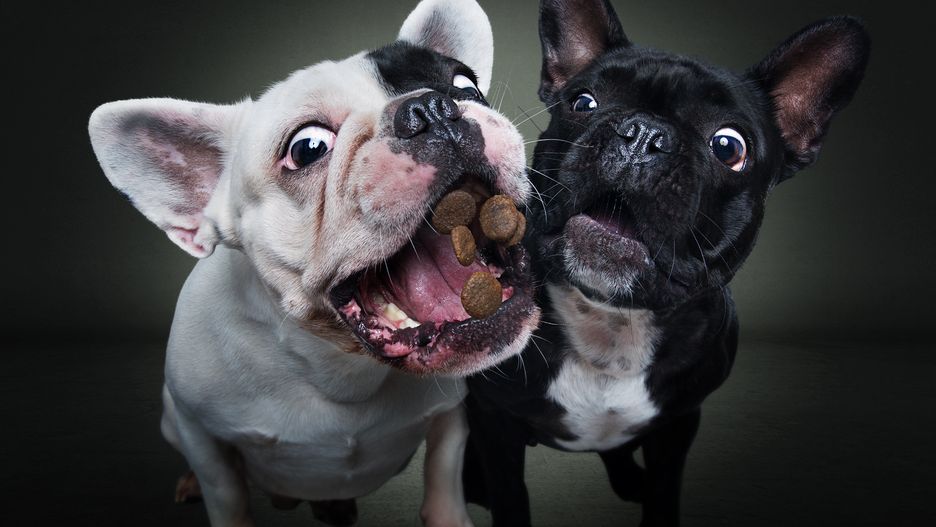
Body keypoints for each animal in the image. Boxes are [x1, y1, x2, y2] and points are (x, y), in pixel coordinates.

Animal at [87, 0, 540, 525]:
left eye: (466, 84)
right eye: (307, 148)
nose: (430, 108)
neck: (340, 369)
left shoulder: (451, 417)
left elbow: (443, 477)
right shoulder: (200, 434)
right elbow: (226, 495)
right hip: (169, 419)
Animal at [463, 0, 870, 525]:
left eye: (729, 147)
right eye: (582, 103)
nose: (642, 135)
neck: (612, 322)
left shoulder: (679, 423)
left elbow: (663, 490)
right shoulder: (493, 419)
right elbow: (511, 496)